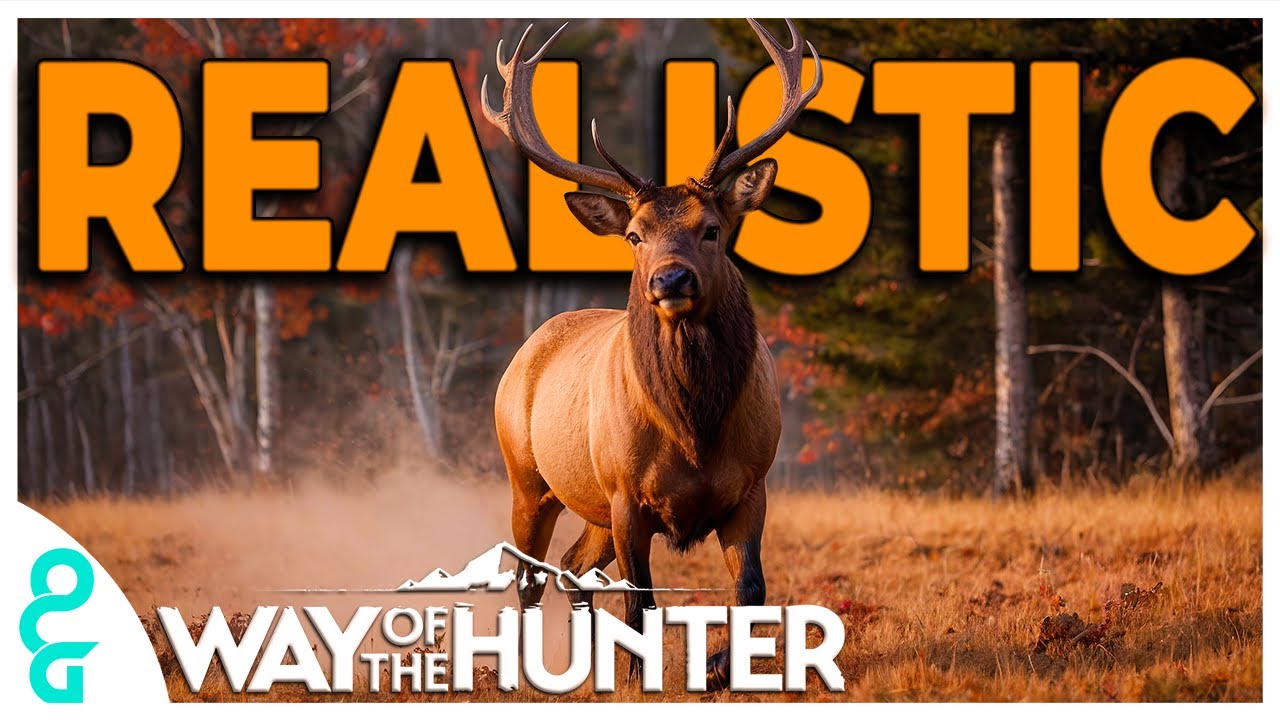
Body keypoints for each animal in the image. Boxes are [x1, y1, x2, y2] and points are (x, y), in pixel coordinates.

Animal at [483, 19, 822, 689]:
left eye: (713, 228)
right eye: (635, 235)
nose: (670, 280)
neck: (694, 429)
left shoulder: (753, 485)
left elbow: (750, 589)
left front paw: (719, 668)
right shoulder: (626, 495)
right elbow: (640, 601)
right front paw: (646, 676)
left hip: (588, 503)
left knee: (572, 568)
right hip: (528, 477)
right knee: (529, 576)